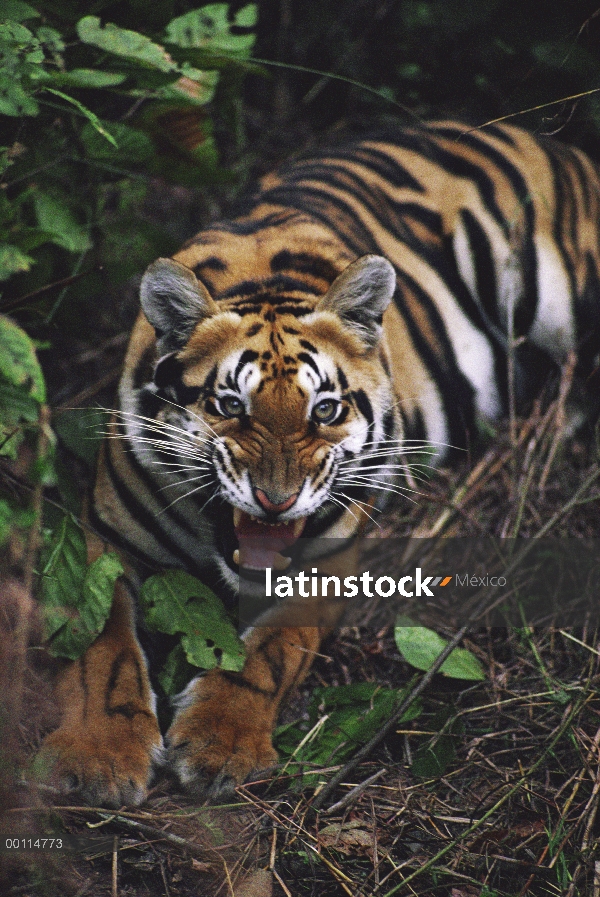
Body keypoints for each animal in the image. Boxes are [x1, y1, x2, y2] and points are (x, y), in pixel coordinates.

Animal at [42, 119, 600, 804]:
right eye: (229, 404)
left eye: (325, 409)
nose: (275, 500)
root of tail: (551, 141)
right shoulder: (100, 540)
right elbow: (101, 644)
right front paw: (100, 755)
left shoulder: (329, 562)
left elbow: (269, 650)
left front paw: (219, 744)